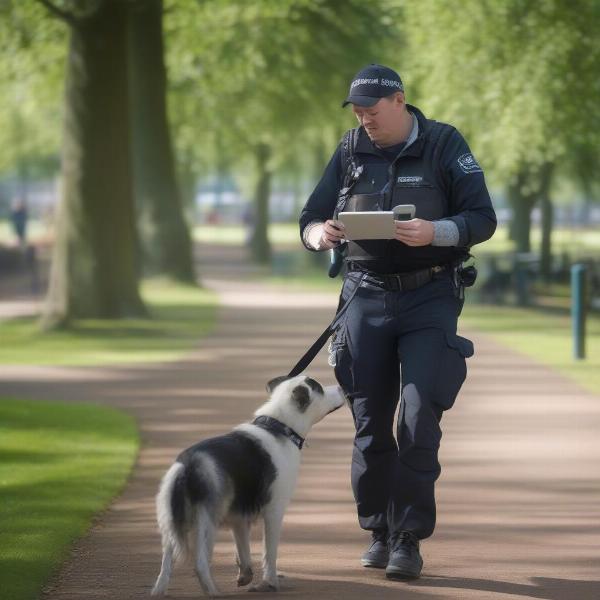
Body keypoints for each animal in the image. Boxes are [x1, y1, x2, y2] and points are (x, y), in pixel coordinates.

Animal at [151, 376, 346, 596]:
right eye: (320, 388)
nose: (341, 387)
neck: (279, 427)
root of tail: (188, 465)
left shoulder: (239, 517)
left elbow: (243, 549)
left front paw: (246, 576)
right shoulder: (274, 512)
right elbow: (269, 553)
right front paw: (269, 582)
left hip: (170, 522)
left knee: (166, 563)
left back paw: (159, 590)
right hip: (207, 521)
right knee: (200, 563)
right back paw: (213, 592)